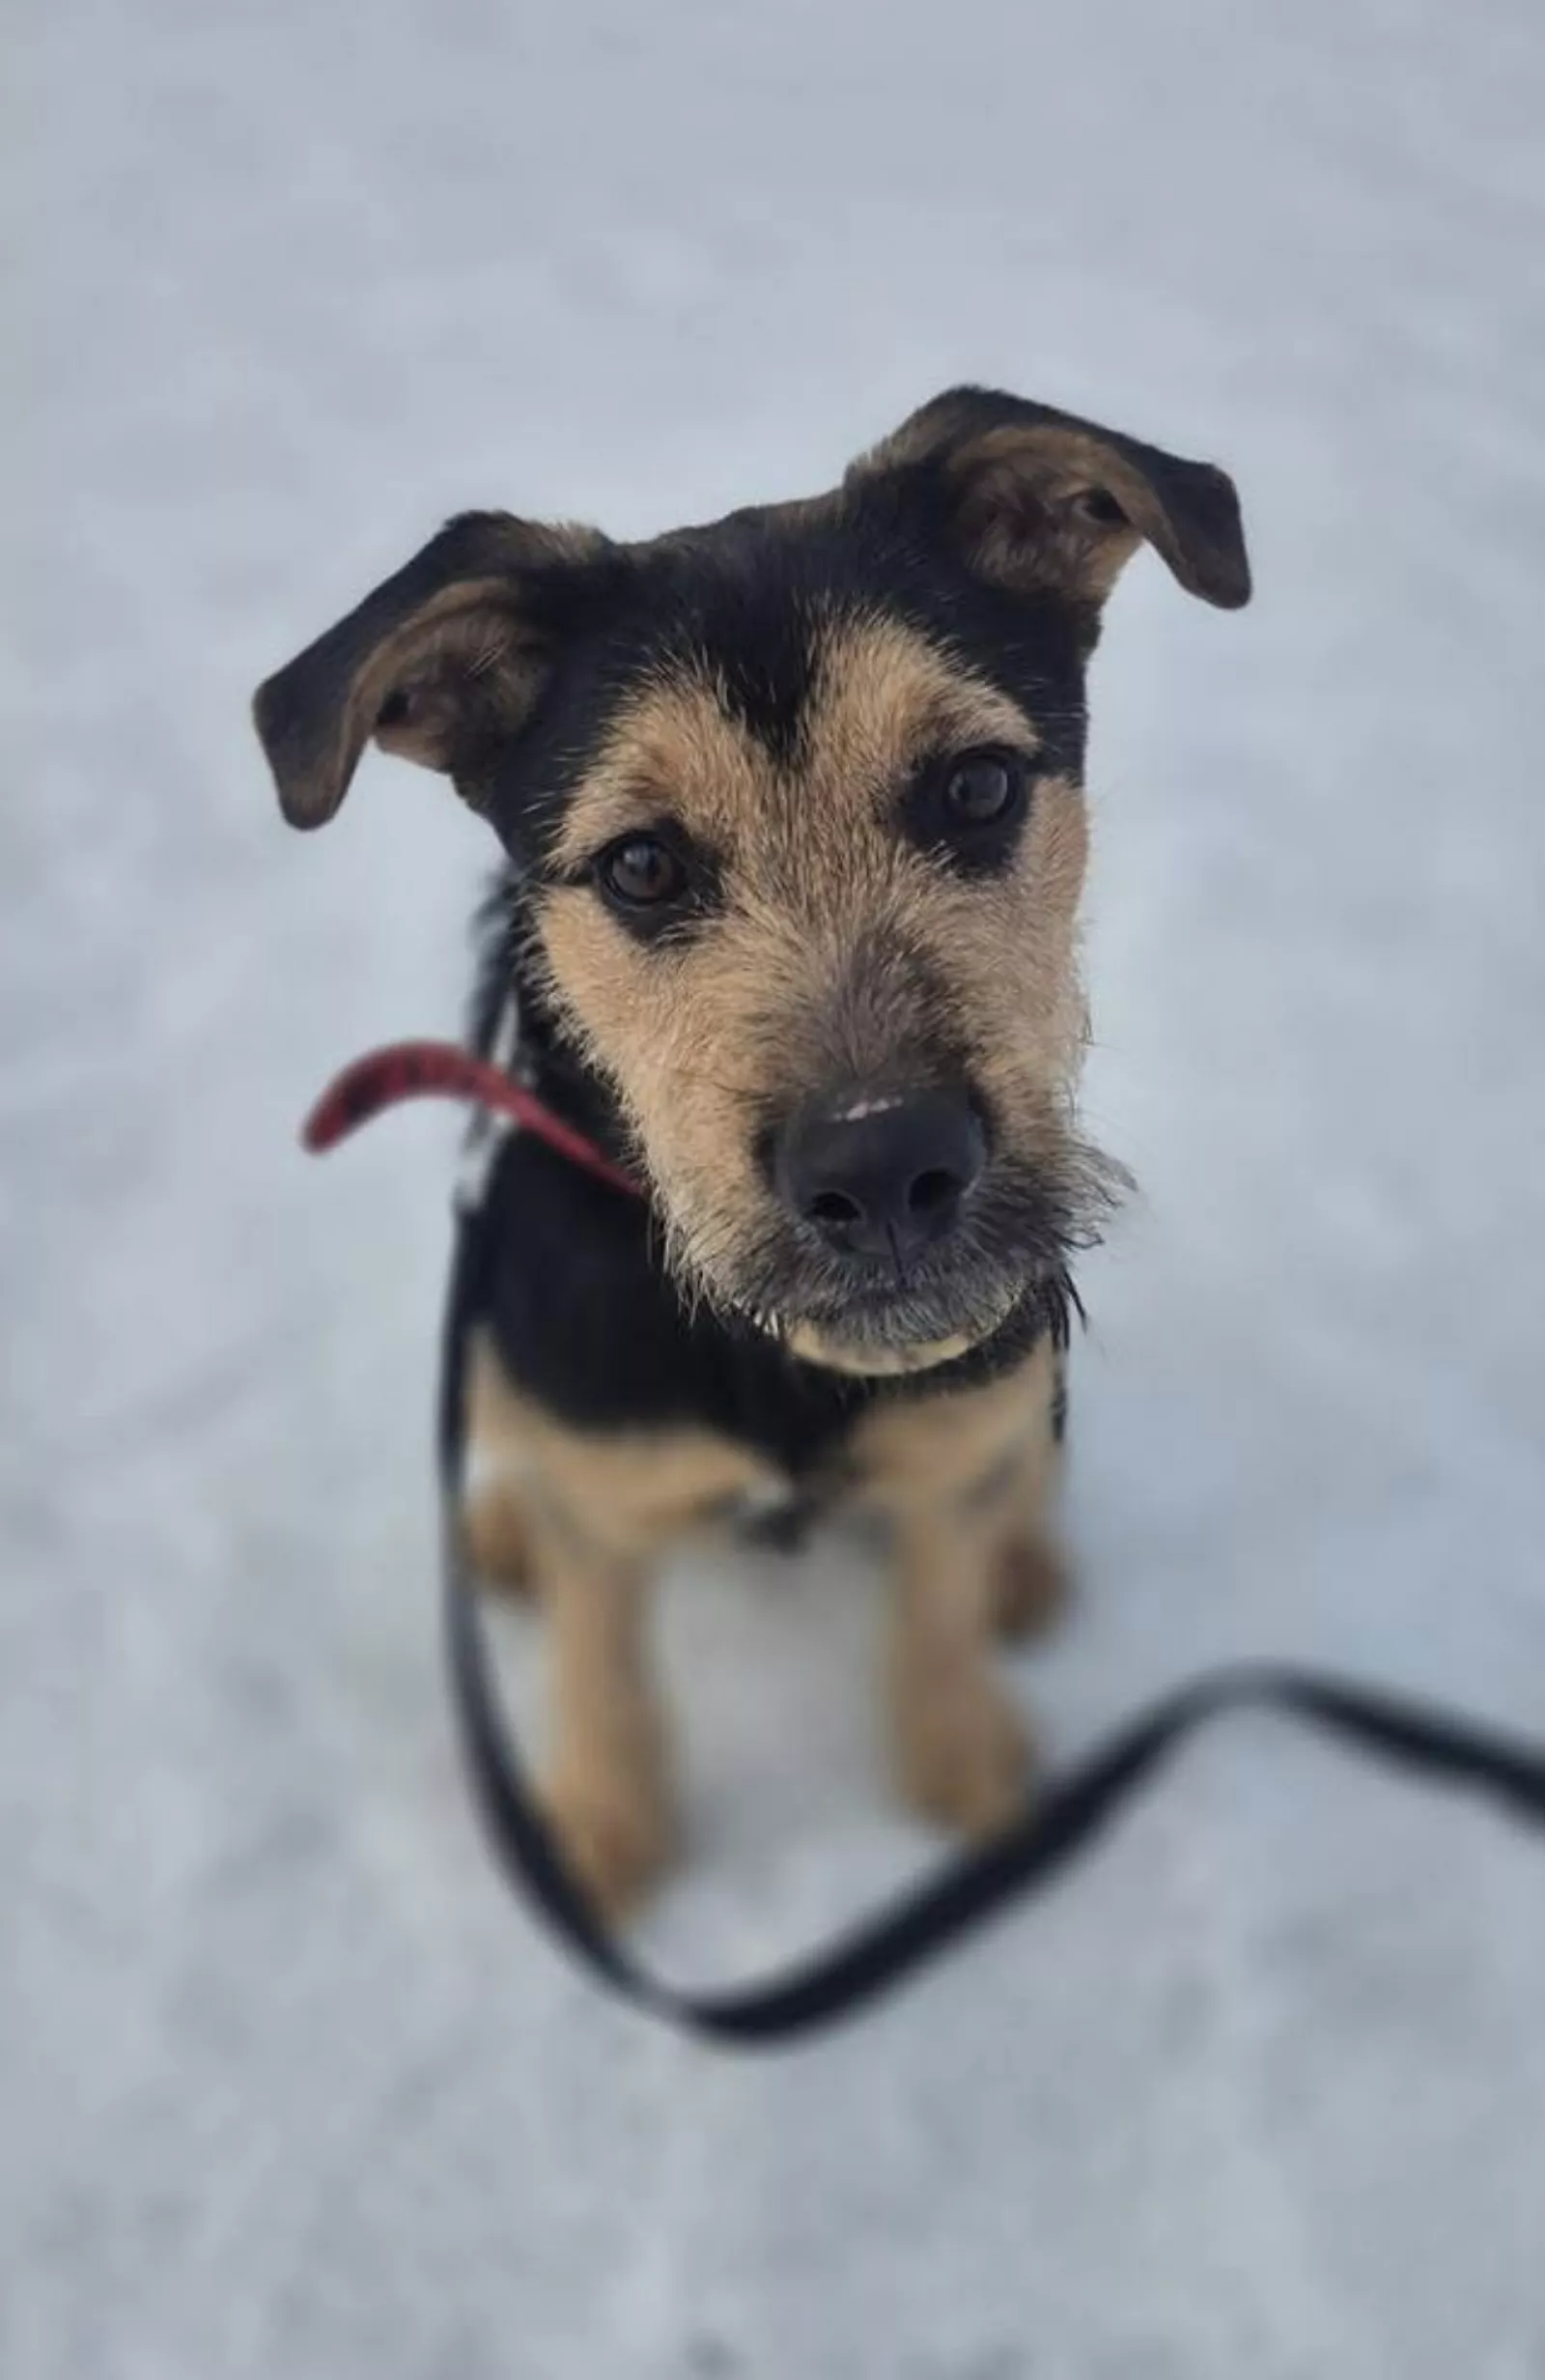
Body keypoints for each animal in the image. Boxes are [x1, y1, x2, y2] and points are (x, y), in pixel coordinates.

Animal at [254, 388, 1250, 1914]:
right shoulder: (600, 1492)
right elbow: (601, 1667)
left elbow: (940, 1617)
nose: (885, 1168)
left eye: (976, 785)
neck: (776, 1363)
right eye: (642, 866)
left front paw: (974, 1786)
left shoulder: (957, 1447)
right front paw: (601, 1846)